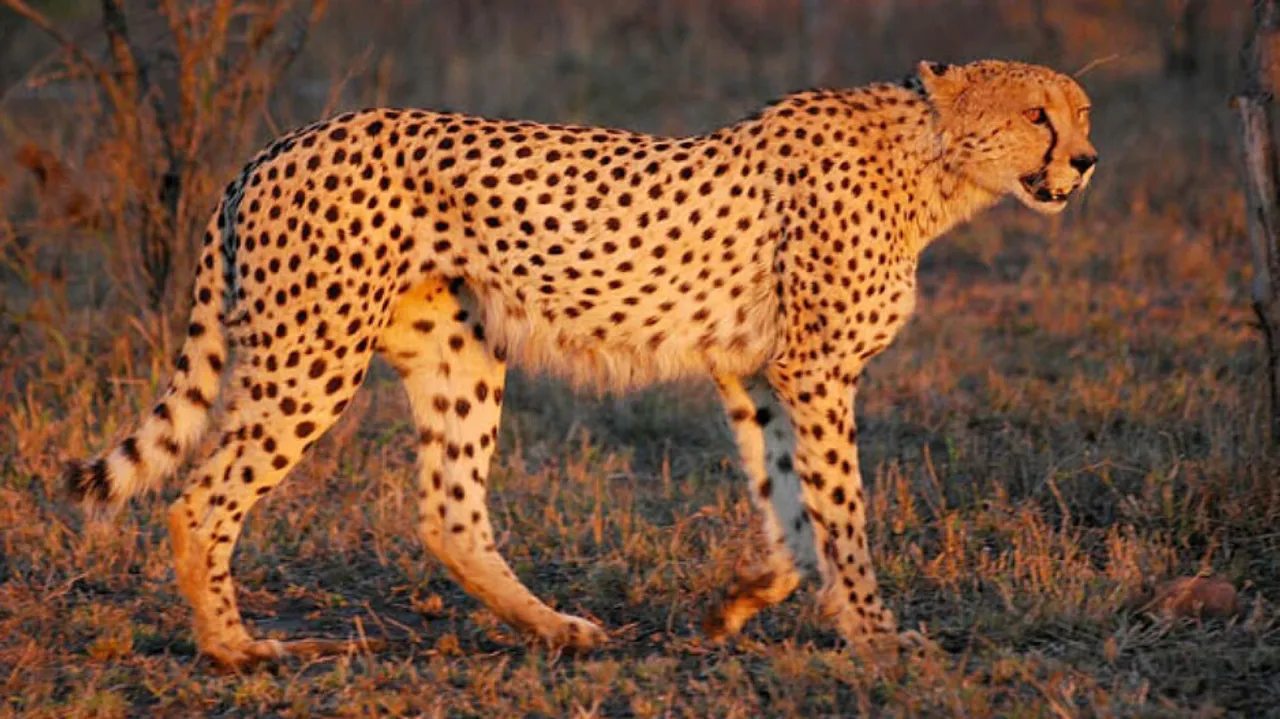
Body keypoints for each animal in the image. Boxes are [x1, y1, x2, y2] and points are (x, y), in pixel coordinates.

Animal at [64, 59, 1096, 668]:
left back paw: (558, 628)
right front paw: (879, 637)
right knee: (202, 498)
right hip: (310, 357)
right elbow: (842, 511)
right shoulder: (813, 371)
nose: (1085, 161)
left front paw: (742, 602)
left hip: (459, 352)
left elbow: (791, 509)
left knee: (448, 513)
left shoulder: (754, 373)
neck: (933, 164)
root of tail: (274, 146)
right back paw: (234, 649)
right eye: (1035, 115)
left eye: (1080, 112)